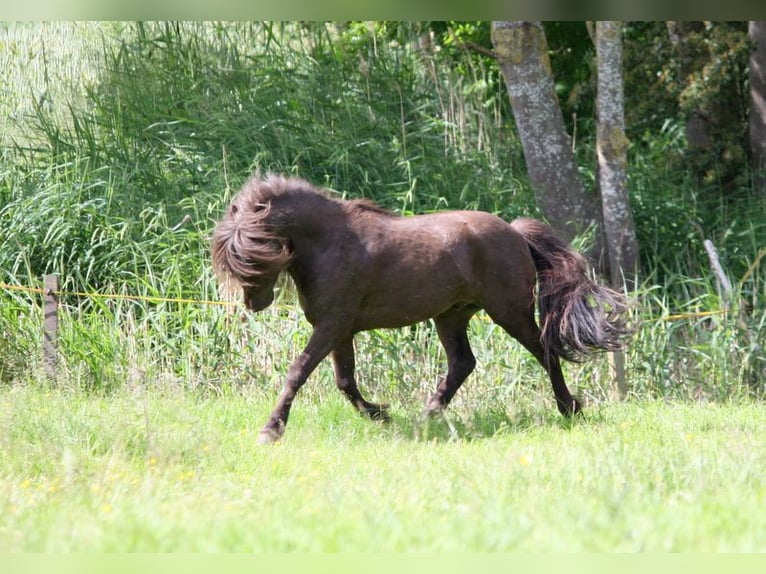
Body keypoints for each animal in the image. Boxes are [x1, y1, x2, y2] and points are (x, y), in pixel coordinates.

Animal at [213, 173, 632, 444]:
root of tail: (515, 233)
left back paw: (569, 409)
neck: (331, 243)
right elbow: (345, 382)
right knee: (463, 363)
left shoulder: (331, 326)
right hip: (451, 316)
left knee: (545, 352)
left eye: (253, 250)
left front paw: (271, 429)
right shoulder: (341, 330)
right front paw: (381, 415)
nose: (255, 303)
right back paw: (425, 417)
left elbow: (298, 372)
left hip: (509, 312)